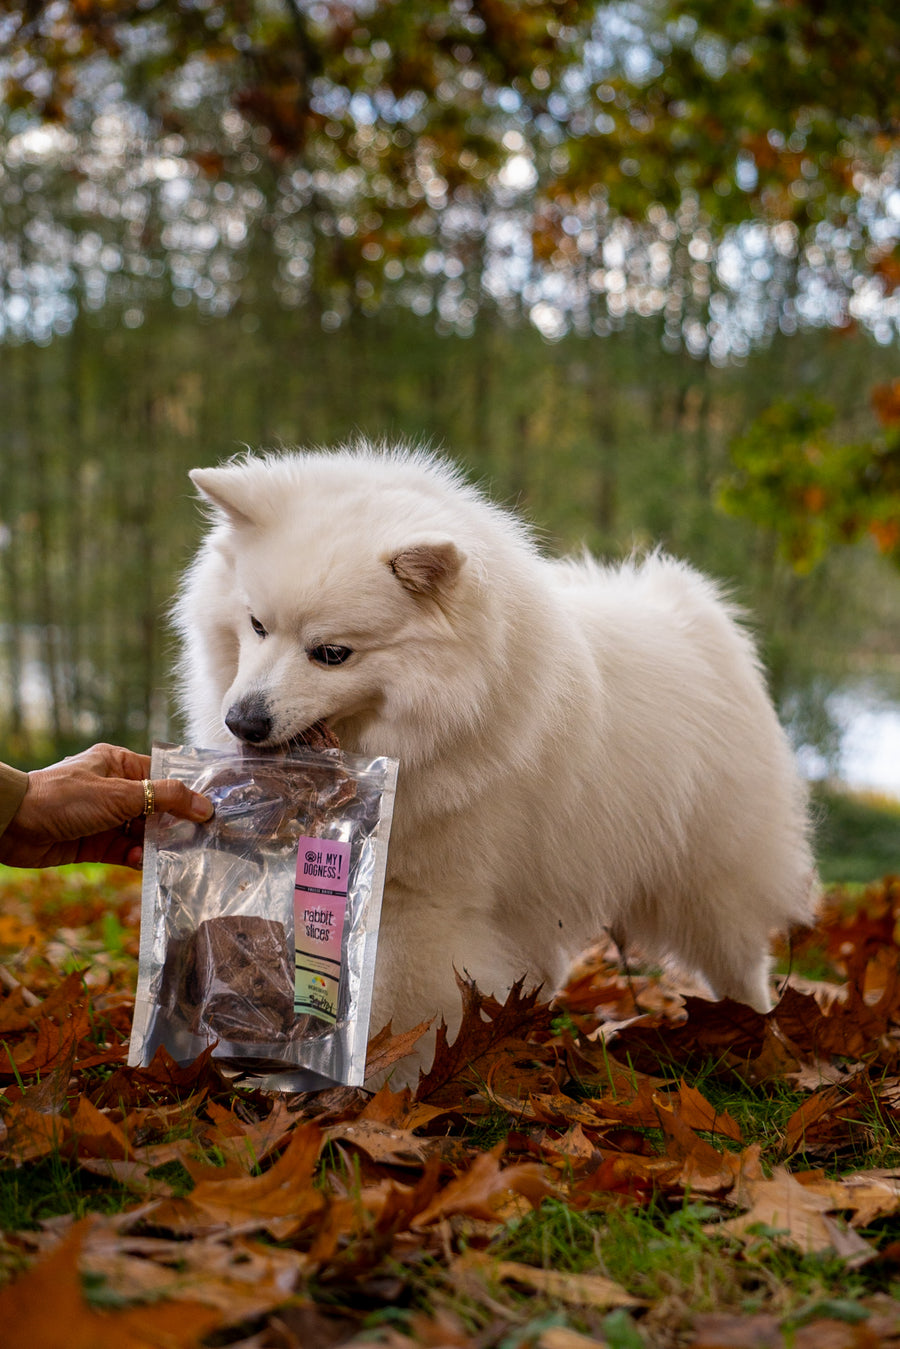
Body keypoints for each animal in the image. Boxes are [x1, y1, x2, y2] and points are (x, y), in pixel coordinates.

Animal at [174, 442, 814, 1052]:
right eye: (257, 625)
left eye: (331, 654)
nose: (242, 722)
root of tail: (699, 622)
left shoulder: (425, 901)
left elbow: (394, 998)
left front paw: (379, 1070)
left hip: (709, 884)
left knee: (740, 963)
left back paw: (755, 1030)